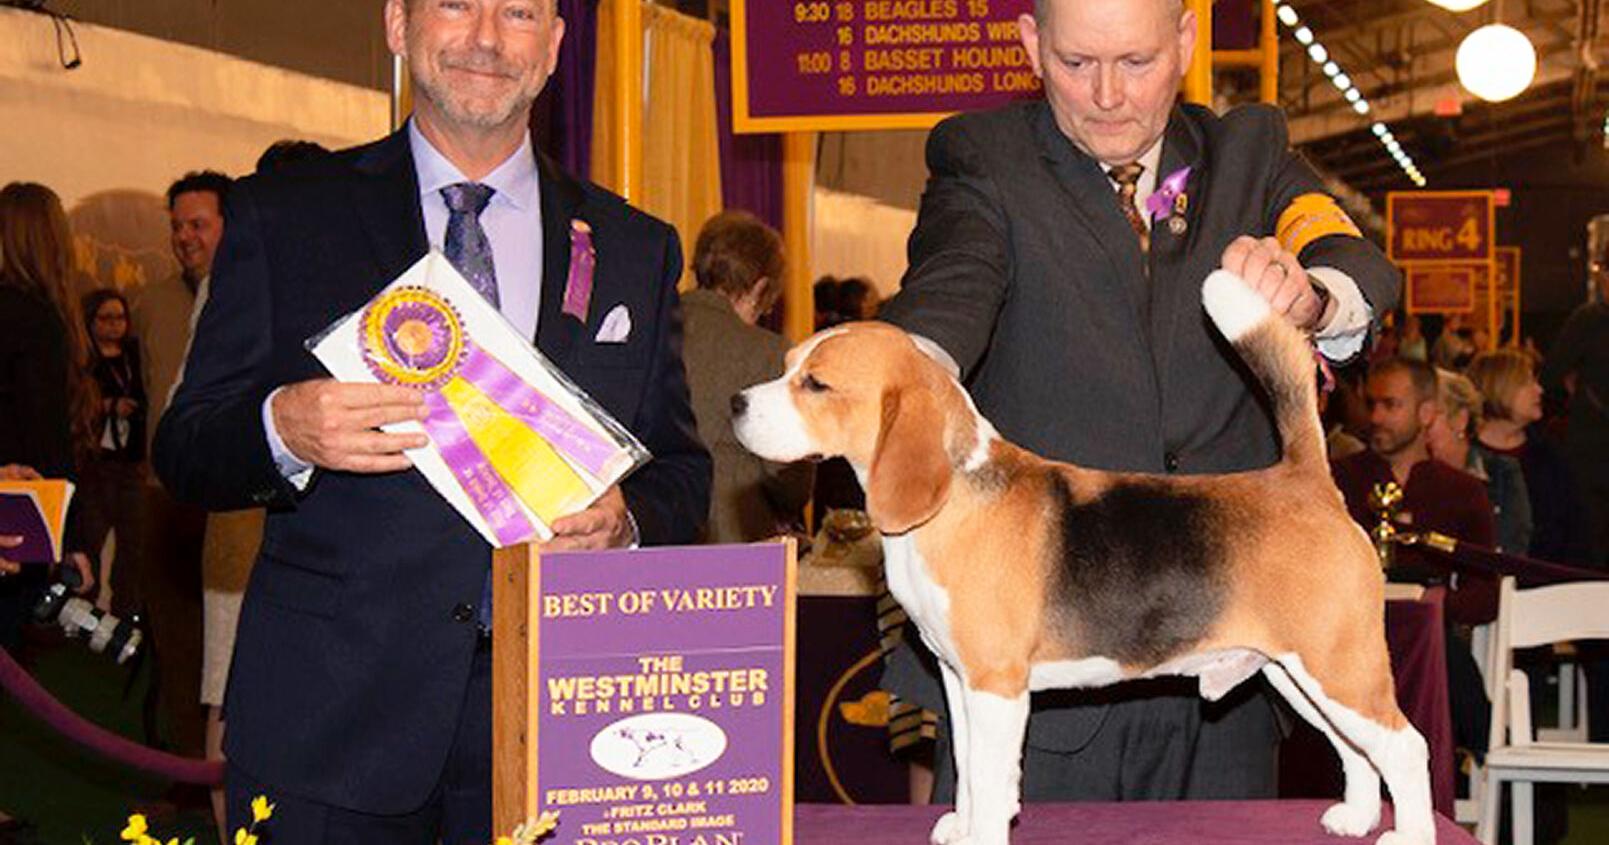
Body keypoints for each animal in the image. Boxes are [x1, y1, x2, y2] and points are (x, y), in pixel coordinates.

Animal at [733, 272, 1435, 843]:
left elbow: (992, 776)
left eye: (816, 384)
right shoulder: (959, 680)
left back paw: (1409, 835)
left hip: (1338, 665)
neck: (956, 494)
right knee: (1356, 750)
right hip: (1295, 672)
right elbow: (969, 770)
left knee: (1406, 746)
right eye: (787, 364)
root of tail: (1304, 479)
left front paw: (984, 834)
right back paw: (1357, 819)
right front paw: (962, 826)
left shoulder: (996, 684)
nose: (736, 404)